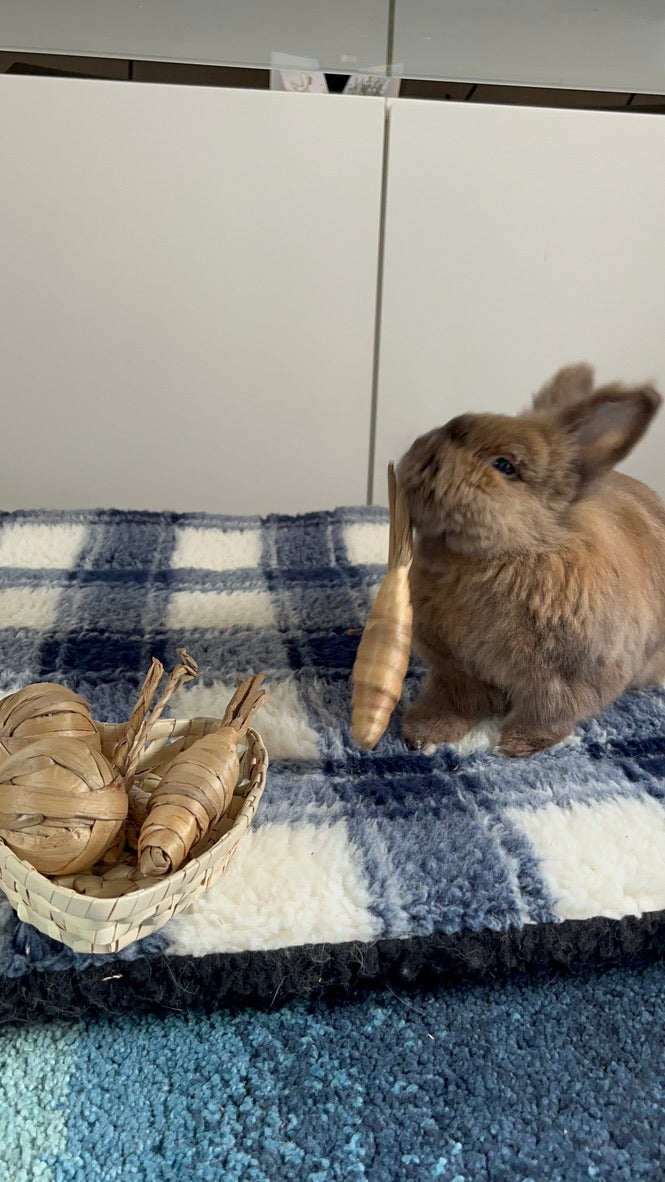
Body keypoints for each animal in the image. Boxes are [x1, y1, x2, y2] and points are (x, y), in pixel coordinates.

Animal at [397, 363, 665, 757]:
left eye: (504, 465)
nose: (421, 455)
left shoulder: (567, 681)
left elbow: (546, 716)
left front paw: (514, 746)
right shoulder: (456, 670)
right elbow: (451, 702)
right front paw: (421, 734)